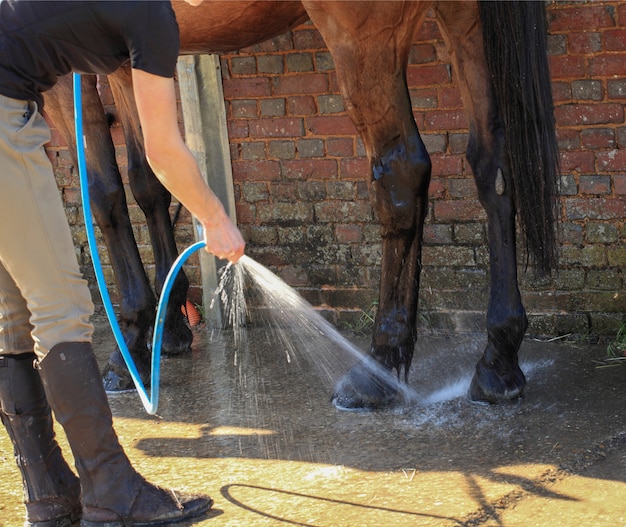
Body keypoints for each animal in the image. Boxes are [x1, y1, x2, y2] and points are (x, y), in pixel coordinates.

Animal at [46, 0, 560, 410]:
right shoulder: (125, 57)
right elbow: (148, 182)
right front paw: (167, 327)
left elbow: (104, 193)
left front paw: (129, 347)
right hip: (465, 18)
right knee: (493, 165)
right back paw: (498, 362)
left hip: (362, 31)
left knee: (401, 172)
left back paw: (376, 371)